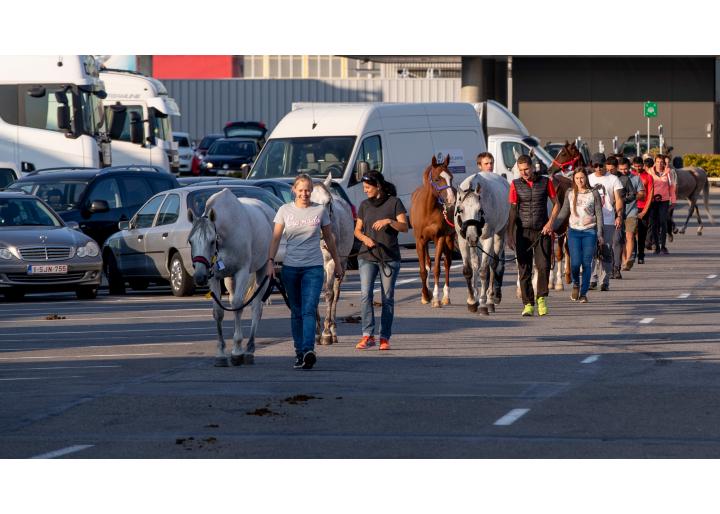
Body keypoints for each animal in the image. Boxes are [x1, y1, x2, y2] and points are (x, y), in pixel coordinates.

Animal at [310, 173, 356, 344]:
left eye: (328, 202)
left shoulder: (330, 264)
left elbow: (329, 294)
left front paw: (325, 333)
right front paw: (316, 332)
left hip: (341, 263)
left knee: (336, 293)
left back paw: (333, 330)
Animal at [410, 154, 456, 306]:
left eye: (451, 177)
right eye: (436, 179)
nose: (451, 199)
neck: (428, 209)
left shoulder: (440, 238)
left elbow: (437, 268)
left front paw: (436, 298)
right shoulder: (419, 241)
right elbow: (423, 270)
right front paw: (425, 295)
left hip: (449, 238)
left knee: (447, 263)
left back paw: (446, 296)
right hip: (426, 243)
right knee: (428, 264)